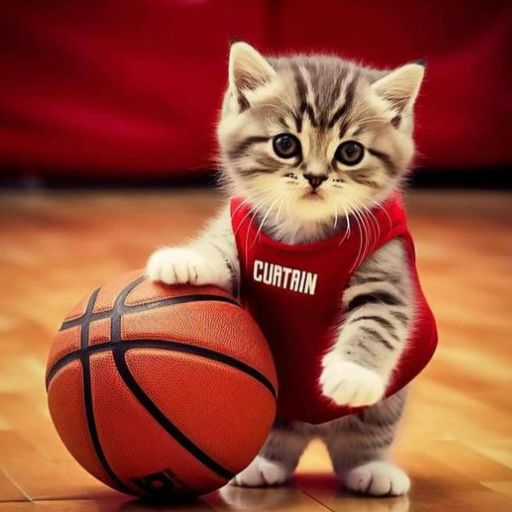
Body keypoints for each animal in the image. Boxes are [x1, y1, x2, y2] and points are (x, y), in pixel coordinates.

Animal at [147, 44, 428, 496]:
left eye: (350, 152)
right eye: (285, 144)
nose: (314, 176)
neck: (305, 233)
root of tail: (314, 430)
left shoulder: (387, 268)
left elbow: (379, 320)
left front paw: (352, 372)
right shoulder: (242, 234)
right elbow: (220, 253)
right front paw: (185, 259)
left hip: (387, 403)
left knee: (361, 443)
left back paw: (372, 469)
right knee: (277, 441)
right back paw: (264, 463)